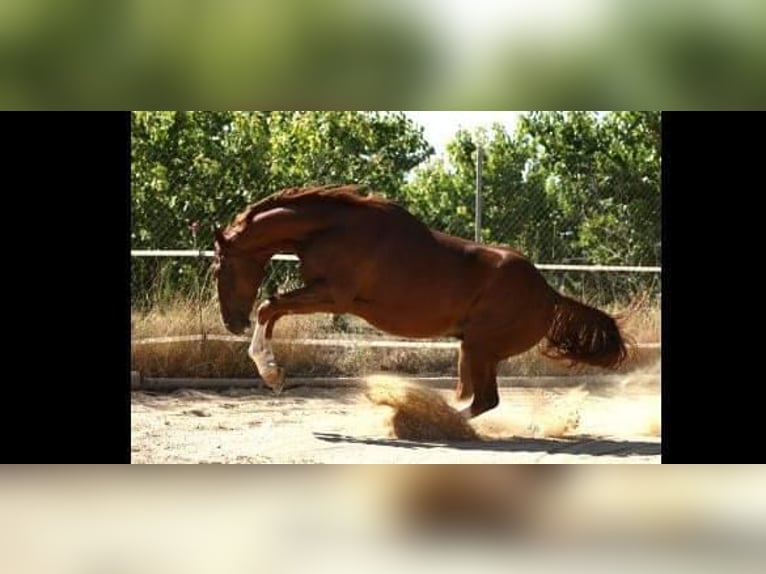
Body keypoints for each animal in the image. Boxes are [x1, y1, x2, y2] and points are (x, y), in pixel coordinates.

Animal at [213, 184, 628, 418]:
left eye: (219, 268)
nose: (232, 323)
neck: (332, 229)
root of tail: (550, 295)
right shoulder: (323, 293)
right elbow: (272, 310)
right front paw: (273, 373)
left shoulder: (333, 296)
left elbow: (268, 306)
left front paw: (271, 373)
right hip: (472, 349)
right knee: (474, 396)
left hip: (480, 347)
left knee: (484, 401)